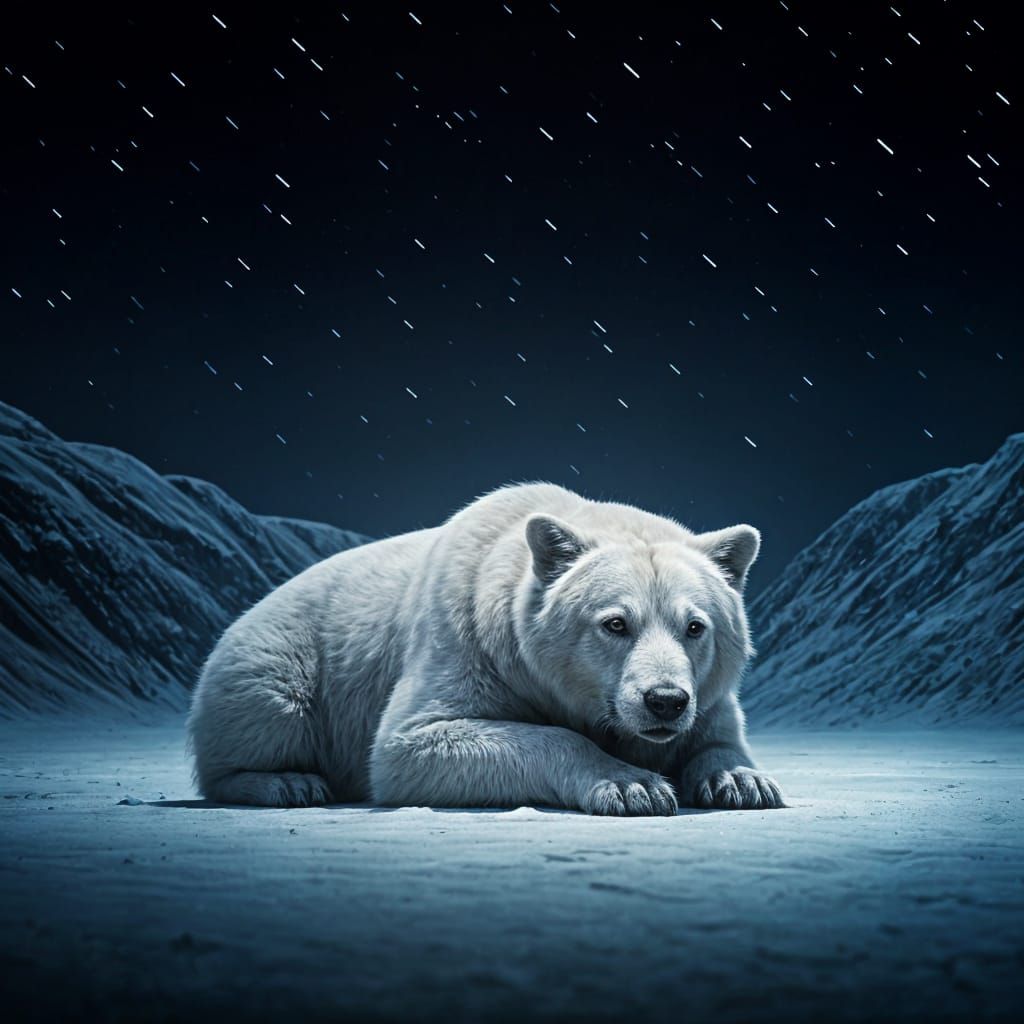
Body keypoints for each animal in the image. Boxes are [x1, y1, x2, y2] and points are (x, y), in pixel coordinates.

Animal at [187, 481, 783, 815]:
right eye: (615, 623)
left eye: (695, 626)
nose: (664, 701)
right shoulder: (464, 640)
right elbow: (412, 744)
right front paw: (633, 784)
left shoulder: (708, 695)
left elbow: (716, 735)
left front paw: (742, 780)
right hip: (277, 654)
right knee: (270, 709)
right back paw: (288, 781)